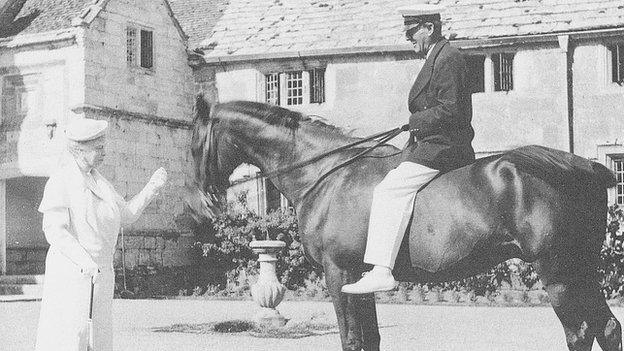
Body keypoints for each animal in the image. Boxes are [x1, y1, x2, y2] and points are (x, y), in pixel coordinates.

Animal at [190, 95, 624, 350]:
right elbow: (370, 339)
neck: (329, 174)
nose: (200, 203)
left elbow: (351, 340)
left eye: (194, 143)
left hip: (559, 274)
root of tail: (583, 166)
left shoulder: (337, 272)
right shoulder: (358, 277)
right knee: (607, 330)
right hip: (583, 271)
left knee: (579, 334)